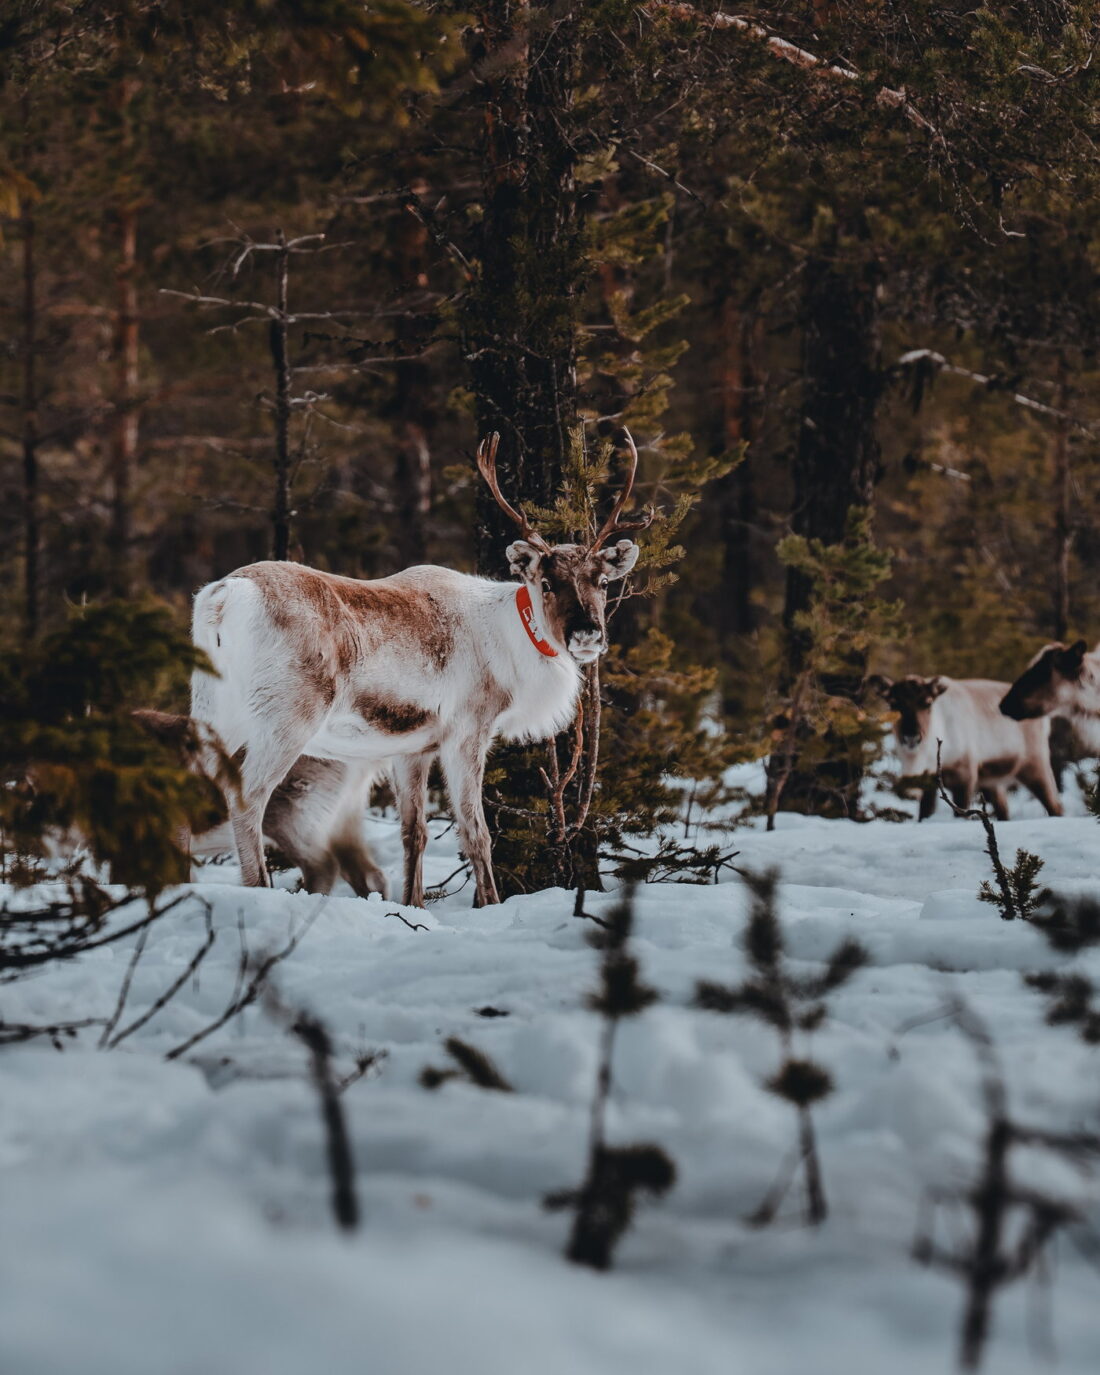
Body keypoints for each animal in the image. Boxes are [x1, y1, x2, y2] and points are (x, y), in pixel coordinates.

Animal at [189, 432, 645, 908]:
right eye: (548, 583)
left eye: (603, 582)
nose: (587, 634)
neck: (509, 643)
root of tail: (223, 597)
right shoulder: (467, 730)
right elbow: (476, 832)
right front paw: (490, 903)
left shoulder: (411, 748)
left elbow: (415, 833)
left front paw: (414, 906)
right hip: (287, 715)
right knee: (248, 796)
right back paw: (260, 889)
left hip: (212, 710)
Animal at [867, 674, 1063, 820]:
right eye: (893, 703)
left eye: (928, 702)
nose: (911, 737)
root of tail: (1045, 717)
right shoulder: (929, 783)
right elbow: (924, 815)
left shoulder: (964, 776)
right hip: (992, 781)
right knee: (1004, 810)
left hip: (1035, 764)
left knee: (1055, 805)